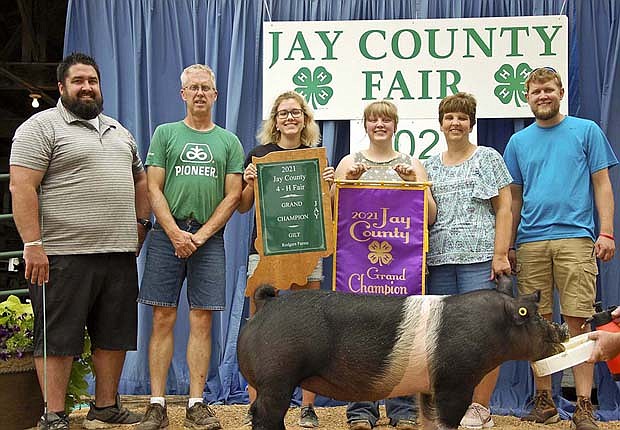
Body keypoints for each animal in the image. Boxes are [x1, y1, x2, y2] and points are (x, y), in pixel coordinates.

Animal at [240, 278, 568, 430]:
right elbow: (448, 420)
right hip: (277, 377)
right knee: (265, 414)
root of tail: (266, 305)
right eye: (532, 316)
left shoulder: (429, 388)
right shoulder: (455, 382)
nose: (561, 329)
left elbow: (429, 419)